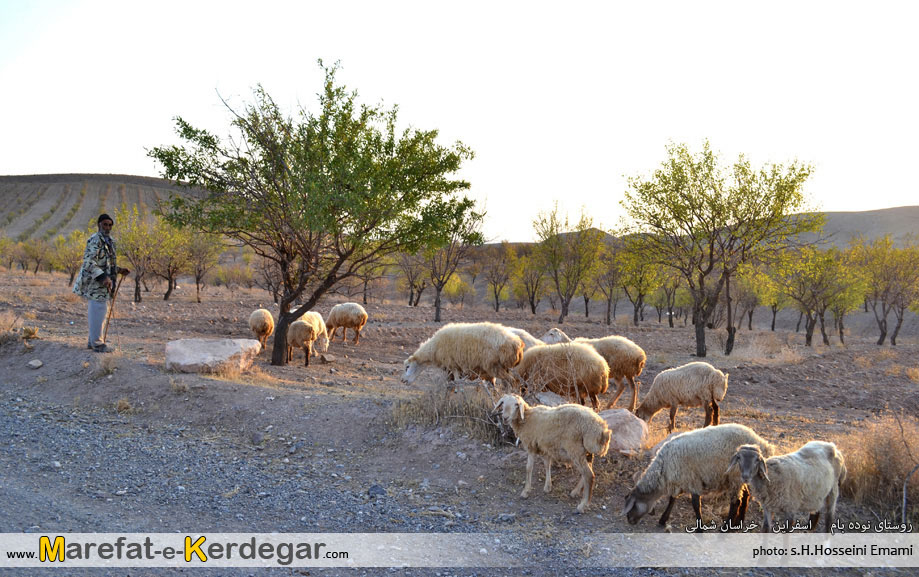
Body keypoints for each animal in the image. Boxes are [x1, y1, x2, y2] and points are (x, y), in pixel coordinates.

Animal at [620, 424, 772, 528]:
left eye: (632, 506)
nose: (630, 521)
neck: (663, 470)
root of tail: (763, 444)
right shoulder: (680, 479)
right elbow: (672, 500)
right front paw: (663, 519)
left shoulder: (692, 480)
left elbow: (695, 504)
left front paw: (700, 529)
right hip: (740, 477)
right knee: (746, 496)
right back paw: (738, 522)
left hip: (734, 475)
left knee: (736, 502)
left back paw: (726, 527)